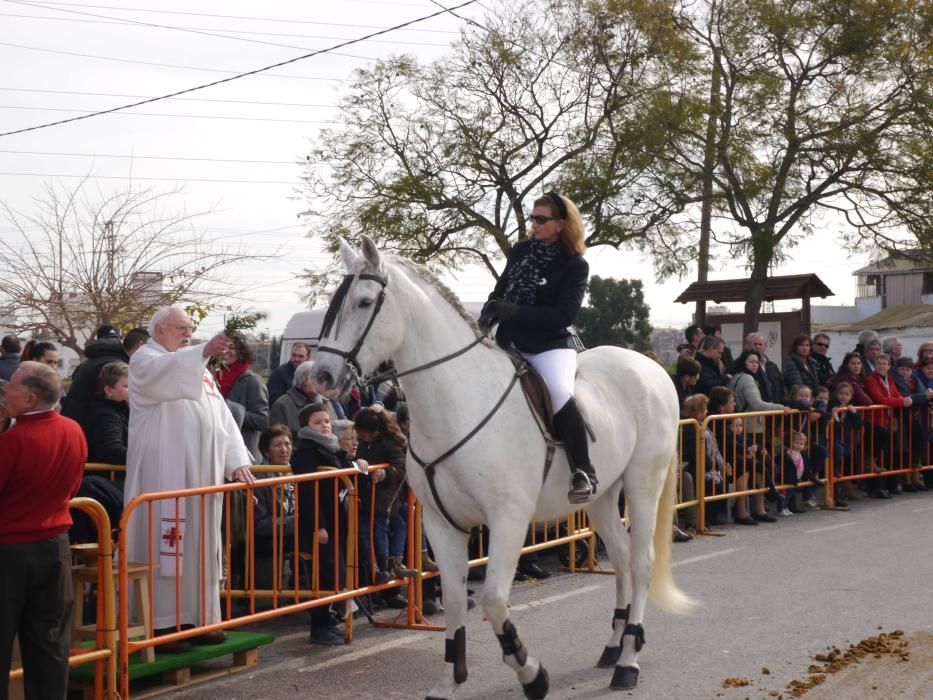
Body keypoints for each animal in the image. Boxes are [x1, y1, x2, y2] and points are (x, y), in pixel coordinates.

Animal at [312, 238, 692, 696]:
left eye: (365, 302)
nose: (321, 375)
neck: (458, 401)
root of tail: (652, 368)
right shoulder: (441, 524)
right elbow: (456, 600)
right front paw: (449, 681)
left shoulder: (508, 519)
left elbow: (493, 599)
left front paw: (532, 675)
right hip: (601, 497)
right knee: (619, 555)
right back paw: (613, 645)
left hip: (642, 484)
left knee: (640, 561)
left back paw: (628, 660)